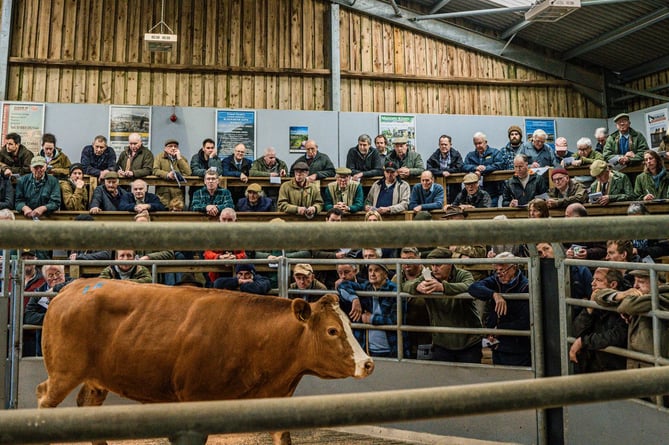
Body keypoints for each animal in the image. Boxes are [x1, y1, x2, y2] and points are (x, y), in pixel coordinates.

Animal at [36, 280, 374, 442]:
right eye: (332, 330)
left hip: (97, 380)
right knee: (44, 400)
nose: (367, 363)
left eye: (349, 324)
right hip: (64, 372)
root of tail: (71, 289)